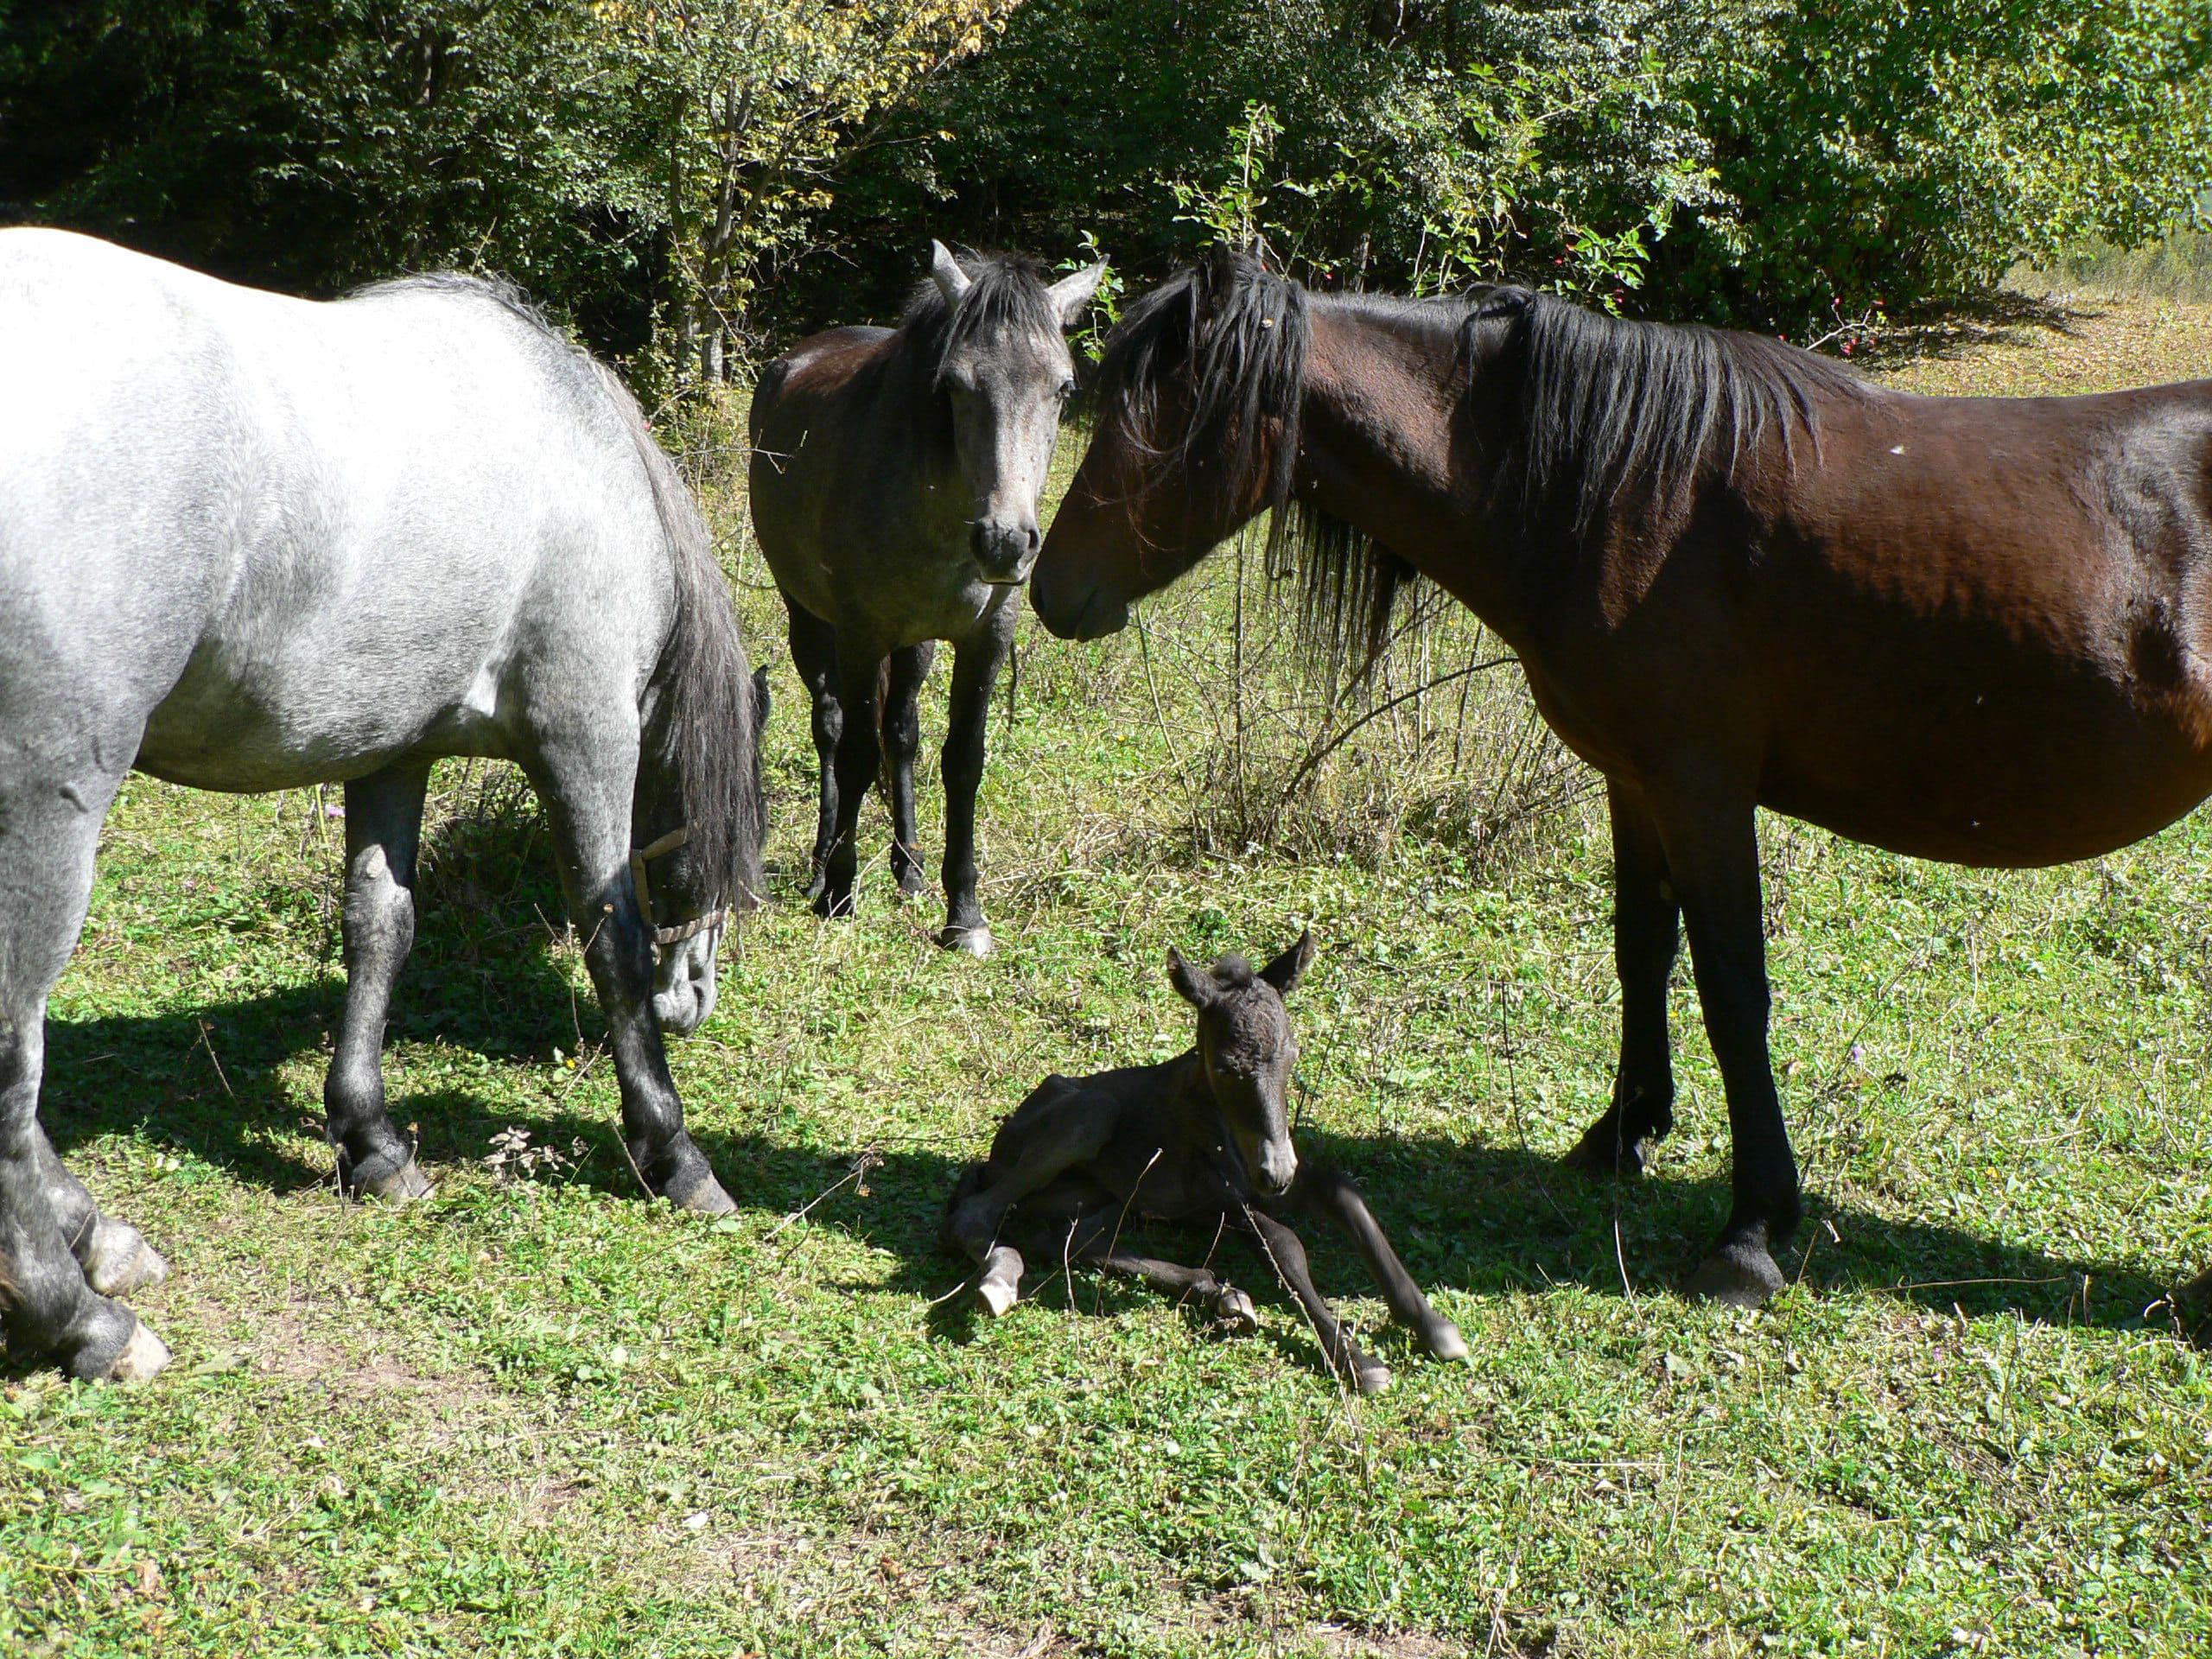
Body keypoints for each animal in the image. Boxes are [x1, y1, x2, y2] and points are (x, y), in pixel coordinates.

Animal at [0, 229, 765, 1382]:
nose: (701, 999)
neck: (578, 440)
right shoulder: (586, 731)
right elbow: (614, 938)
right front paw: (672, 1152)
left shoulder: (394, 748)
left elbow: (380, 929)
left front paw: (371, 1142)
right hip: (49, 808)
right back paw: (84, 1319)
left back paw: (102, 1241)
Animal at [748, 242, 1103, 955]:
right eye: (954, 387)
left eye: (1062, 388)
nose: (1005, 542)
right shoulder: (860, 636)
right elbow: (857, 753)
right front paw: (838, 890)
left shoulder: (983, 639)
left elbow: (961, 760)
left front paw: (964, 913)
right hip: (809, 619)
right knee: (831, 727)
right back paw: (823, 859)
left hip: (916, 646)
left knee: (903, 733)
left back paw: (908, 867)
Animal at [943, 931, 1466, 1392]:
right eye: (1225, 1067)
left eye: (1293, 1055)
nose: (1276, 1172)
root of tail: (992, 1154)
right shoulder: (1216, 1198)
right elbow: (1283, 1242)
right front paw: (1356, 1359)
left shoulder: (1264, 1184)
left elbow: (1344, 1193)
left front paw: (1430, 1324)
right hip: (1090, 1114)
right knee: (978, 1212)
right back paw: (1000, 1276)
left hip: (1104, 1199)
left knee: (1069, 1241)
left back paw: (1222, 1294)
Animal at [1030, 242, 2212, 1327]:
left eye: (1166, 420)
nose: (1046, 587)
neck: (1635, 492)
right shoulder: (1636, 783)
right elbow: (1643, 951)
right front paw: (1623, 1133)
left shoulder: (1701, 788)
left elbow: (1734, 991)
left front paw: (1751, 1231)